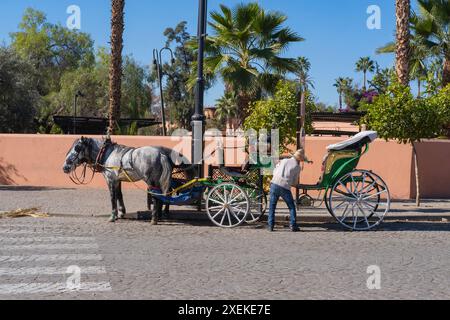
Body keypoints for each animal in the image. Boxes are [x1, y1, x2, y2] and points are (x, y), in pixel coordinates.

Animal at [62, 137, 193, 222]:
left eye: (77, 148)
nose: (65, 167)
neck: (107, 154)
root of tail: (161, 154)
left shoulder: (110, 180)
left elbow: (112, 197)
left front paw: (113, 216)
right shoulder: (117, 180)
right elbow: (119, 195)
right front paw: (121, 213)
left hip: (152, 181)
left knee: (157, 197)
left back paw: (154, 218)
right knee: (162, 197)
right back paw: (159, 216)